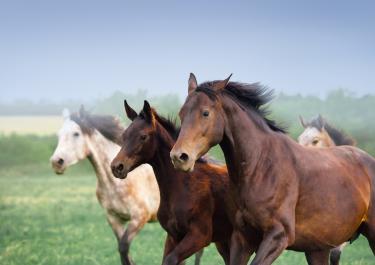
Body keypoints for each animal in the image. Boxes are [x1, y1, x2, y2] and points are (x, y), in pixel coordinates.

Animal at [50, 106, 160, 264]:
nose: (56, 162)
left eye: (76, 133)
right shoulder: (114, 219)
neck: (117, 182)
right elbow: (123, 252)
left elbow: (124, 247)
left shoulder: (140, 217)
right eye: (59, 134)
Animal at [111, 99, 235, 264]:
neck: (182, 186)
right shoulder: (173, 236)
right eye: (124, 135)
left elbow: (171, 259)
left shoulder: (200, 235)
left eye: (143, 136)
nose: (116, 167)